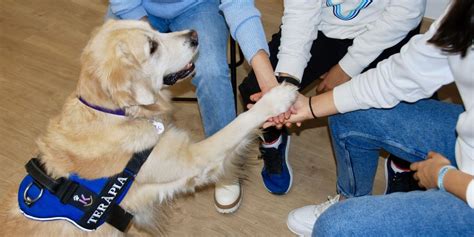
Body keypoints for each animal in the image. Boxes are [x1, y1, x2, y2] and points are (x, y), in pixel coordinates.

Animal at [0, 19, 296, 235]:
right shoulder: (191, 159)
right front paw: (276, 98)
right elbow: (237, 124)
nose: (194, 35)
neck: (117, 114)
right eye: (152, 47)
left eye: (154, 29)